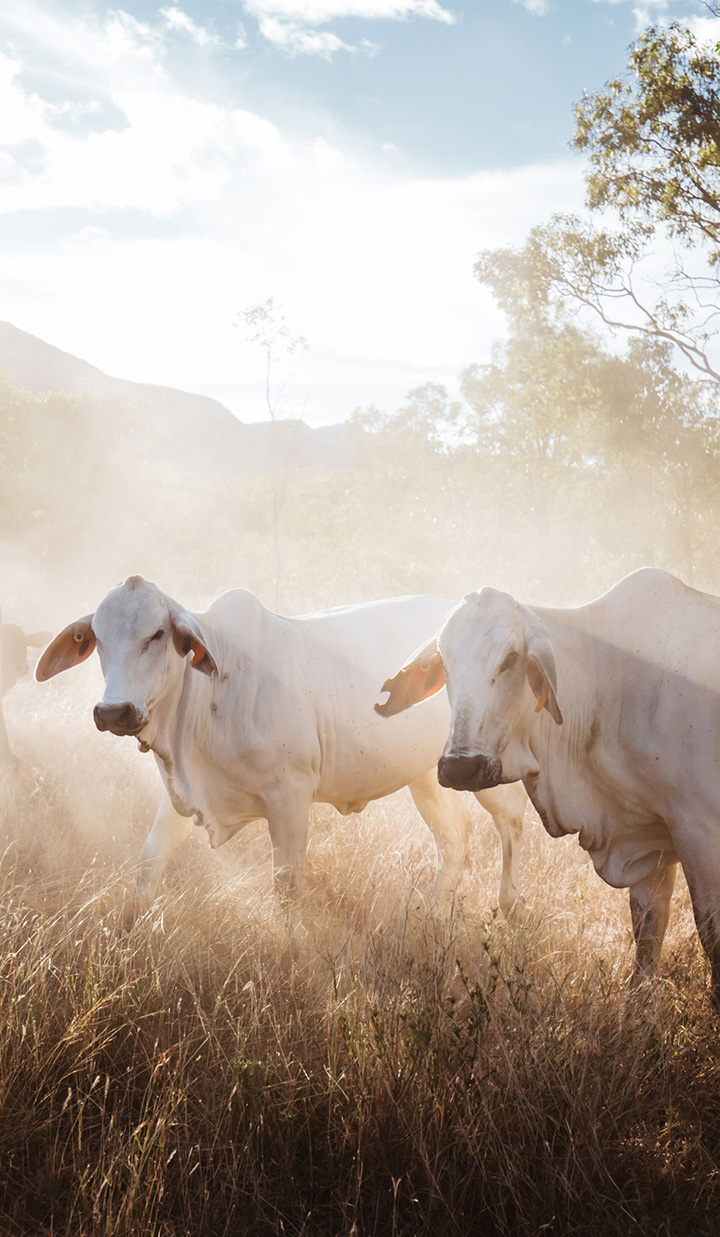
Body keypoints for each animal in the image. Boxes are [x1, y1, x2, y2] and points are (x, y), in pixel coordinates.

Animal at [35, 576, 528, 917]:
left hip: (480, 765)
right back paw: (434, 919)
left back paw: (509, 907)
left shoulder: (290, 799)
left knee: (511, 820)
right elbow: (148, 865)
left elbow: (287, 890)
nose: (113, 712)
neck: (210, 695)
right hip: (425, 774)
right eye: (97, 637)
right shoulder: (181, 796)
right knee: (454, 838)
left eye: (156, 634)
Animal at [376, 567, 720, 1003]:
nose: (460, 768)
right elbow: (647, 940)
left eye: (510, 659)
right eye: (444, 662)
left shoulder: (700, 834)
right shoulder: (650, 843)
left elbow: (710, 935)